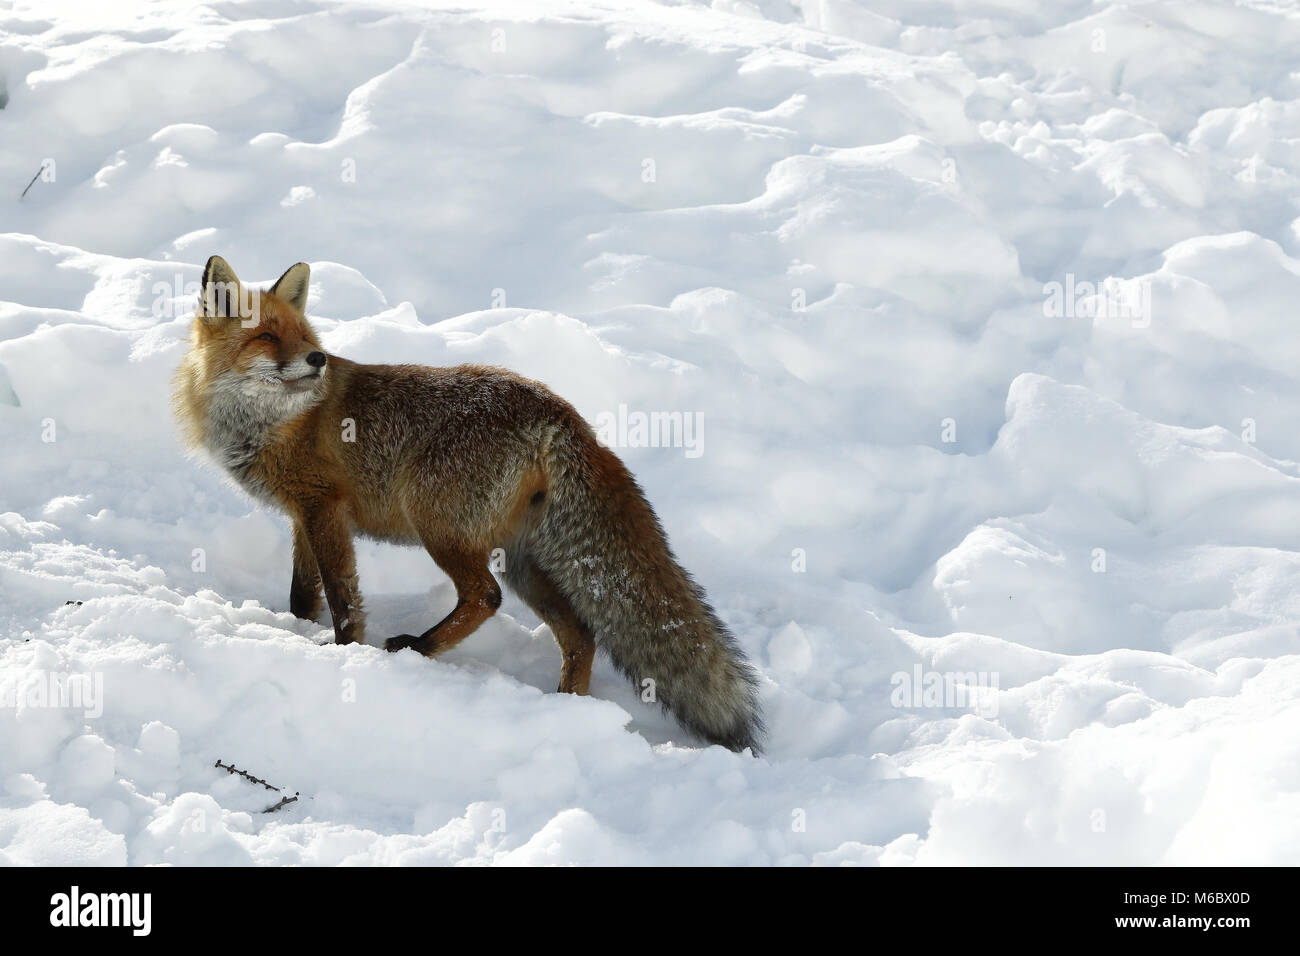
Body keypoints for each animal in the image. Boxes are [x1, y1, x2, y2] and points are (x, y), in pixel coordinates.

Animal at [172, 257, 759, 749]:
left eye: (306, 337)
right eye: (268, 336)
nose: (316, 360)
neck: (273, 422)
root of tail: (559, 409)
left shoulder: (324, 507)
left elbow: (342, 598)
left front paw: (343, 652)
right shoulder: (305, 514)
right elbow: (302, 594)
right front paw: (302, 629)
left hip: (440, 527)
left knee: (485, 597)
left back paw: (418, 649)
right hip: (525, 559)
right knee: (580, 635)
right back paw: (565, 708)